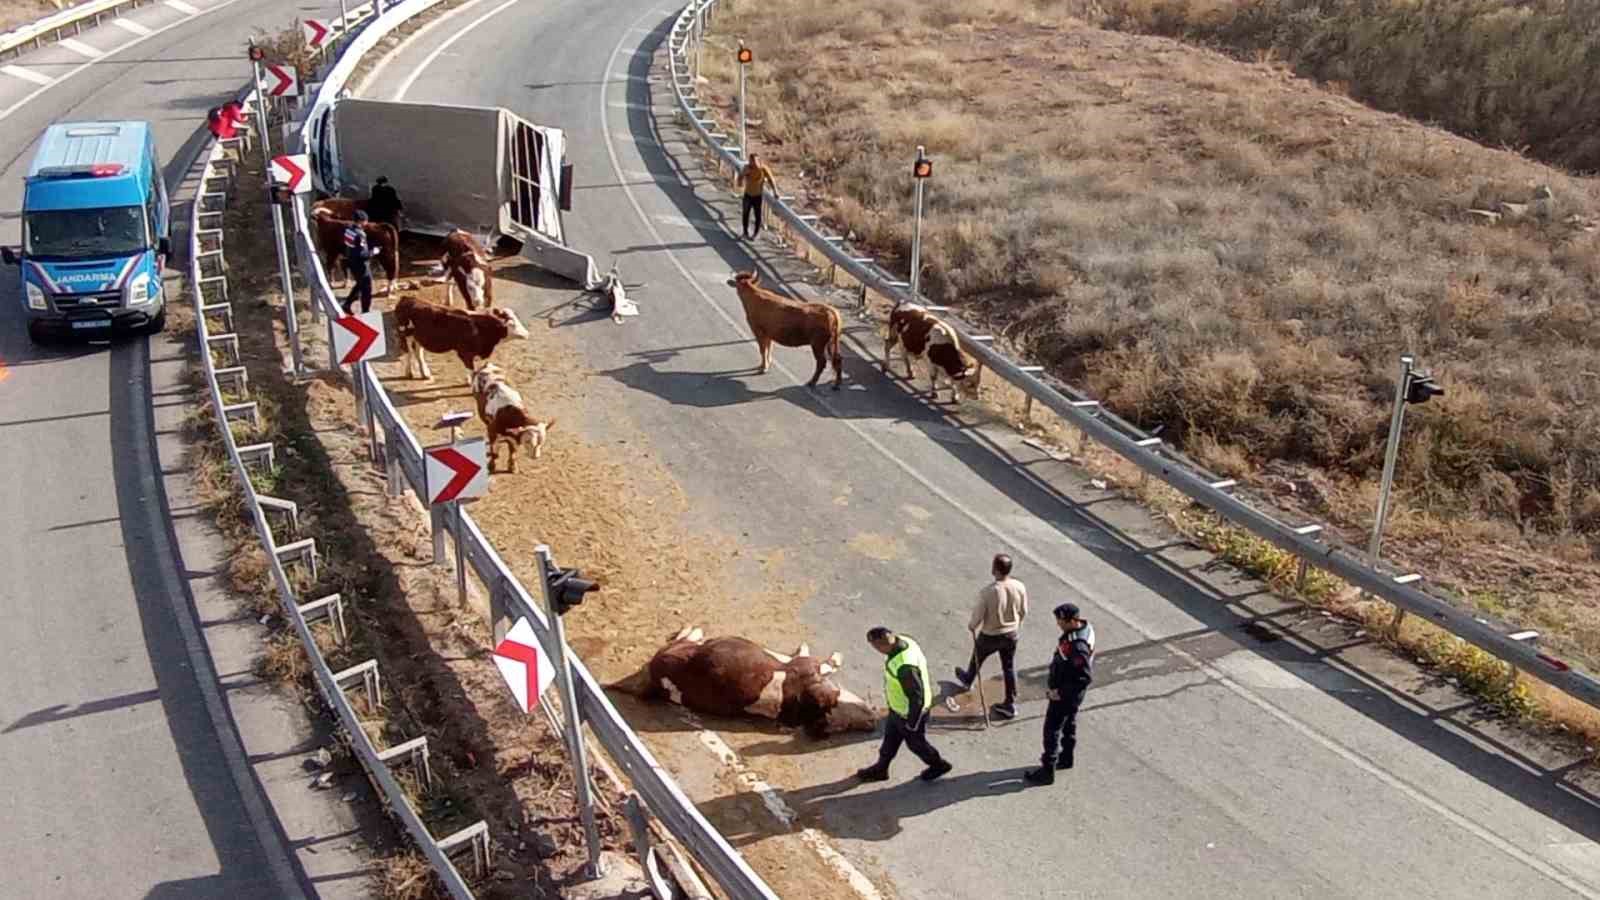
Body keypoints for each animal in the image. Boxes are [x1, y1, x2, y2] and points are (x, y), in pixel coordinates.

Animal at [393, 293, 531, 379]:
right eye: (512, 324)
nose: (527, 334)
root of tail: (406, 298)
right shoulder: (464, 353)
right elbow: (472, 370)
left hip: (419, 338)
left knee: (418, 352)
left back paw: (425, 373)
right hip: (404, 334)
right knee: (408, 353)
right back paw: (409, 372)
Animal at [611, 624, 883, 736]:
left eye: (845, 726)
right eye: (837, 704)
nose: (872, 721)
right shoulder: (807, 666)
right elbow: (825, 662)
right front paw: (834, 654)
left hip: (681, 653)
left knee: (683, 639)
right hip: (683, 650)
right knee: (684, 637)